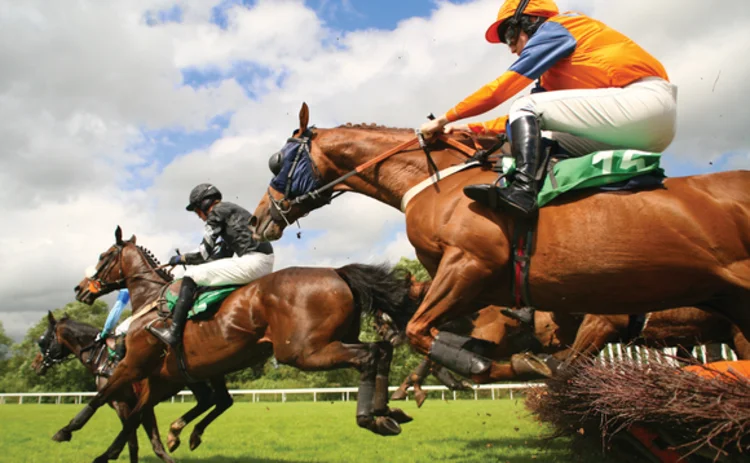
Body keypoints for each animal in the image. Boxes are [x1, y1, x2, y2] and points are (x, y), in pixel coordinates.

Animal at [32, 312, 174, 463]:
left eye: (42, 340)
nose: (35, 364)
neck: (104, 359)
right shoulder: (143, 404)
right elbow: (155, 445)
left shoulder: (121, 402)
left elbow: (132, 441)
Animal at [53, 226, 415, 463]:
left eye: (104, 255)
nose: (80, 289)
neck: (152, 302)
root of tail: (338, 272)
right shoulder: (166, 378)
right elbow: (139, 416)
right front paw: (135, 446)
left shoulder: (134, 365)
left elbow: (101, 398)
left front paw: (67, 430)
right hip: (338, 338)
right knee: (382, 351)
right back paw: (386, 411)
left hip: (304, 351)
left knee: (368, 355)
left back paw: (369, 417)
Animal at [250, 103, 750, 384]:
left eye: (277, 160)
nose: (258, 219)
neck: (439, 183)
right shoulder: (475, 286)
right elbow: (430, 324)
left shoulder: (469, 265)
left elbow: (422, 332)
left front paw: (493, 367)